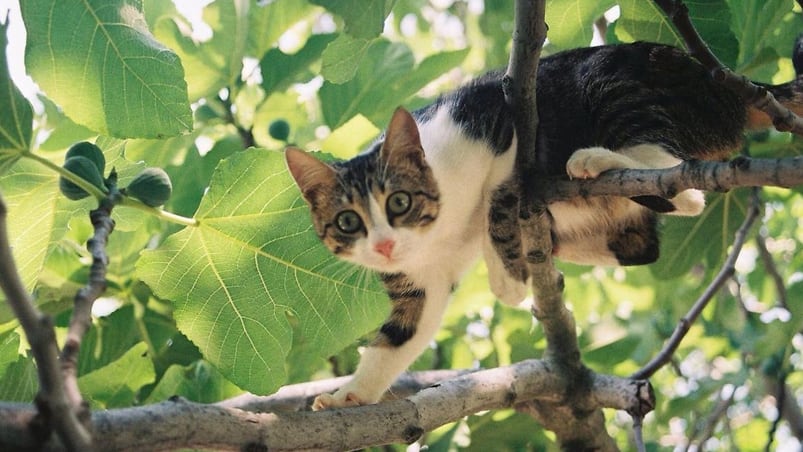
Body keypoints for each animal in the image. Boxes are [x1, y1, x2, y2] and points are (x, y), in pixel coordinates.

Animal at [284, 42, 803, 410]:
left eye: (399, 201)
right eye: (348, 221)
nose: (385, 246)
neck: (439, 232)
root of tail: (725, 83)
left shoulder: (497, 116)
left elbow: (496, 193)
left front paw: (506, 275)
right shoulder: (418, 282)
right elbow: (400, 336)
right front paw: (351, 394)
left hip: (612, 83)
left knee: (686, 189)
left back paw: (593, 163)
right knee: (643, 242)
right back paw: (558, 239)